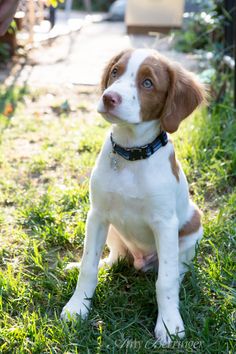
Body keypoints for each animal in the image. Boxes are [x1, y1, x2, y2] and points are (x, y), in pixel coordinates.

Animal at [61, 48, 206, 344]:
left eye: (147, 83)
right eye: (116, 72)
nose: (109, 97)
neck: (130, 154)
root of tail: (141, 261)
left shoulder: (165, 224)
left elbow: (166, 281)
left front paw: (169, 324)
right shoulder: (97, 215)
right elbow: (88, 265)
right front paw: (77, 307)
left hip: (193, 229)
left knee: (177, 269)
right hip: (114, 231)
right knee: (116, 257)